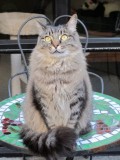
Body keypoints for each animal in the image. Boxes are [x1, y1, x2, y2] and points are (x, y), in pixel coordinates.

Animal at [20, 14, 93, 159]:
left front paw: (70, 142)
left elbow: (71, 124)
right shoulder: (44, 101)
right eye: (48, 38)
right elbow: (52, 126)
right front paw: (56, 140)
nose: (55, 45)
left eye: (63, 37)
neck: (57, 70)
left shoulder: (76, 100)